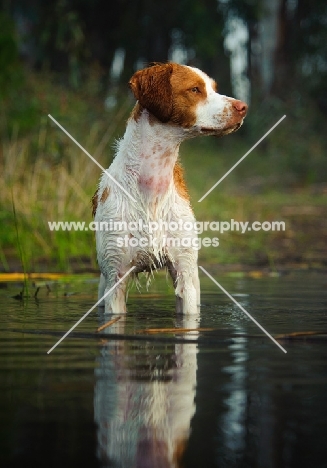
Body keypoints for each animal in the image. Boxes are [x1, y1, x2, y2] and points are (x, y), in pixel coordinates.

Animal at [92, 62, 249, 314]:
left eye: (214, 88)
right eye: (195, 89)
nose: (243, 107)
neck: (152, 188)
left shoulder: (184, 273)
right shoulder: (115, 275)